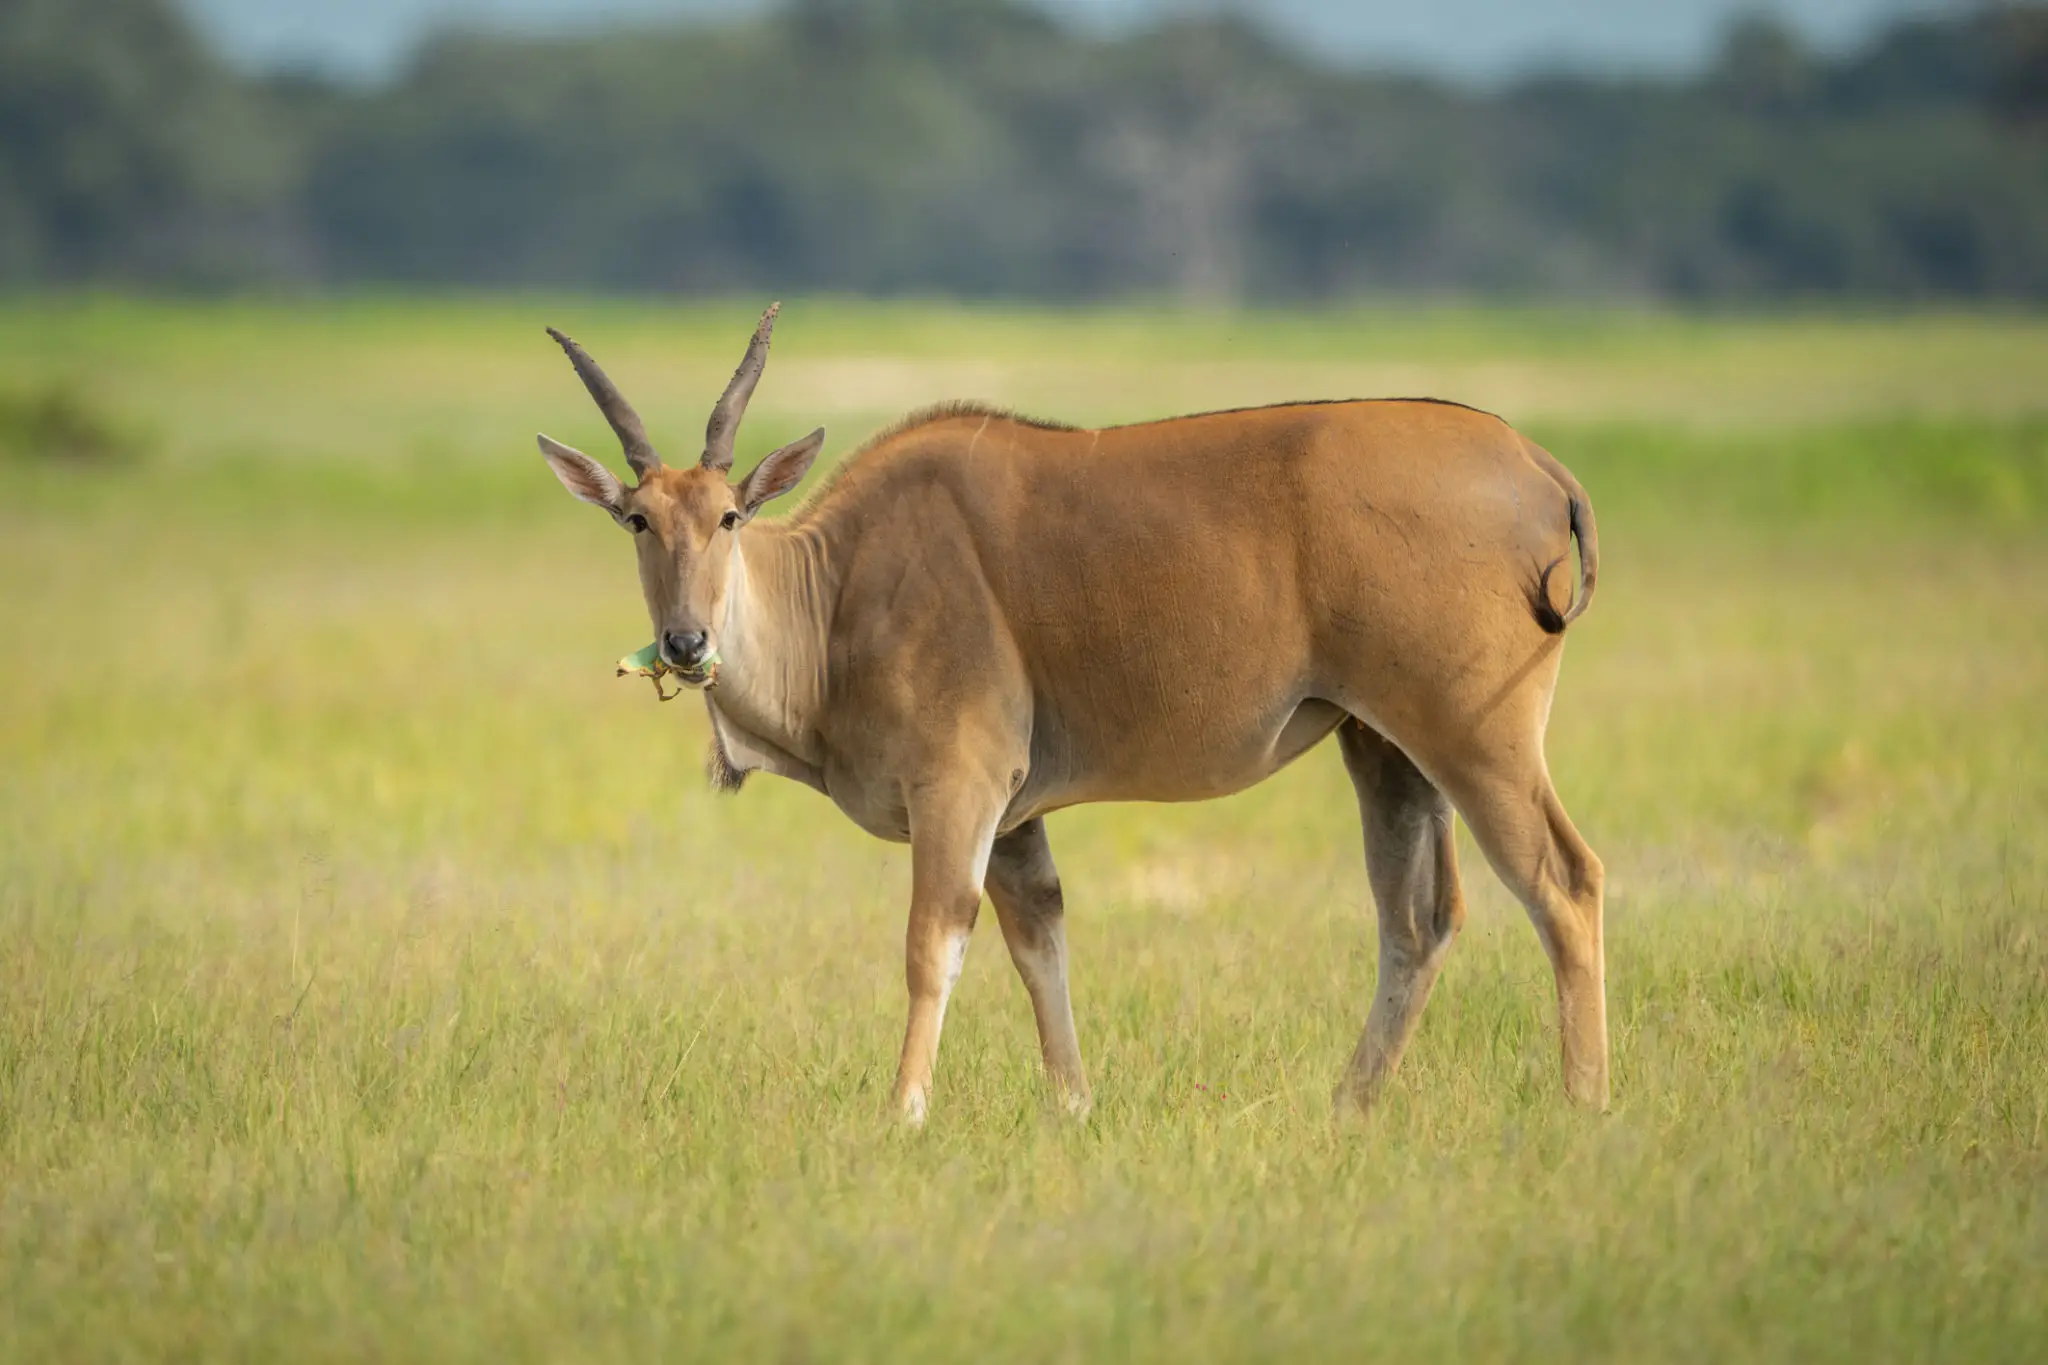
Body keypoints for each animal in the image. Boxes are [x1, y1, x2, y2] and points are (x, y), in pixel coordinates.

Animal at [536, 305, 1606, 1124]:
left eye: (729, 516)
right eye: (638, 519)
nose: (685, 643)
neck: (838, 588)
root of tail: (1537, 460)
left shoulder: (958, 786)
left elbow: (933, 943)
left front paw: (903, 1112)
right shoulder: (1014, 819)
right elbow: (1037, 941)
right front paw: (1074, 1107)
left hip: (1474, 736)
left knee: (1563, 883)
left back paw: (1583, 1105)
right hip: (1384, 746)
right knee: (1419, 918)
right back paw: (1348, 1108)